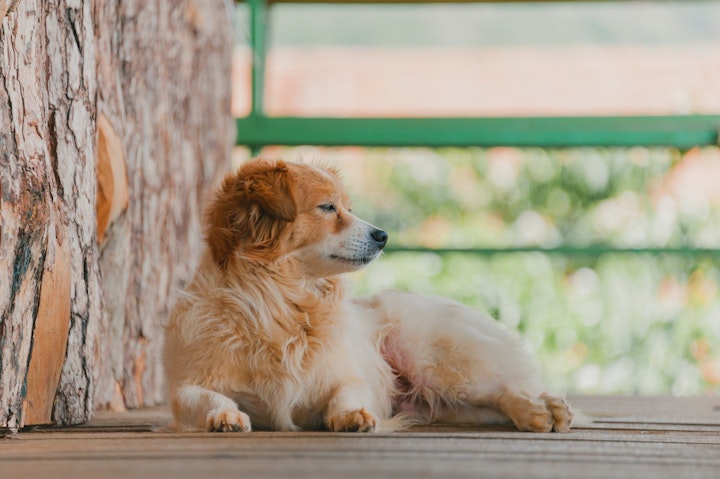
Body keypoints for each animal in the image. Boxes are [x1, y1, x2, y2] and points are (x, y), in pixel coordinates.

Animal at [163, 158, 572, 436]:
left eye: (348, 207)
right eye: (328, 207)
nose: (384, 235)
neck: (281, 302)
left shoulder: (349, 376)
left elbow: (346, 394)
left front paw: (350, 416)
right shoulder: (186, 388)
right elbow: (205, 398)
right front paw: (225, 415)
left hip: (439, 367)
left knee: (504, 387)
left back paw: (541, 411)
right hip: (450, 403)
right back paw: (546, 411)